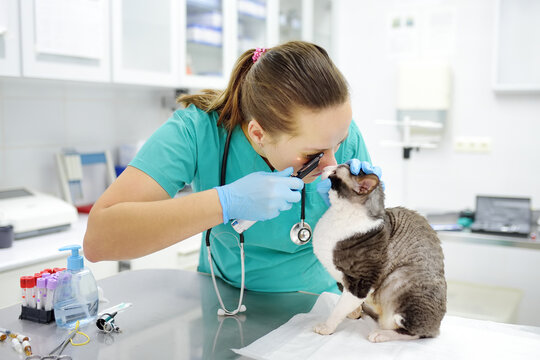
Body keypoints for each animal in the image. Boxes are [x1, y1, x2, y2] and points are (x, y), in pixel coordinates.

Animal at [312, 165, 448, 342]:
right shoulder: (344, 281)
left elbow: (339, 308)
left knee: (417, 333)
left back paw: (381, 334)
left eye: (335, 172)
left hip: (401, 278)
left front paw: (327, 326)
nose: (326, 166)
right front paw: (354, 312)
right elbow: (345, 300)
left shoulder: (361, 282)